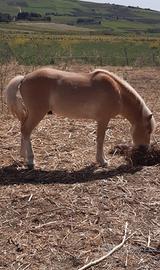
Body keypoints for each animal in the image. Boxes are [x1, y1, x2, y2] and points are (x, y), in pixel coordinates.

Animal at [5, 67, 155, 168]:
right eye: (148, 130)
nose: (145, 149)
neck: (118, 92)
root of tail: (24, 78)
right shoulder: (103, 119)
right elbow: (100, 140)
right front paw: (102, 161)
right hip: (37, 113)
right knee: (26, 131)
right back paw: (30, 160)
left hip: (31, 113)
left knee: (23, 130)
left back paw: (23, 155)